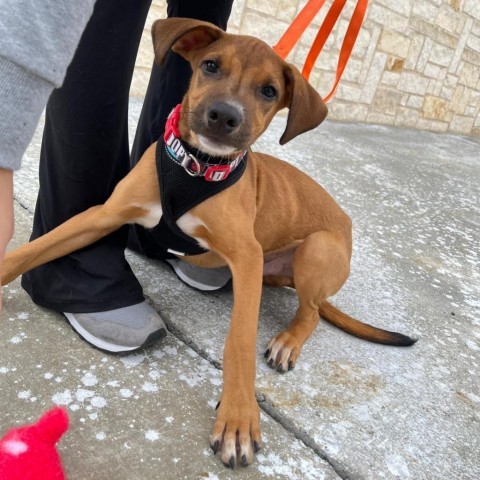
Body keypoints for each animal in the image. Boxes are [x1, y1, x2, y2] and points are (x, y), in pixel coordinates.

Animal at [0, 18, 414, 468]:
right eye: (211, 65)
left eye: (269, 91)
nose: (224, 115)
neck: (195, 167)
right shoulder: (104, 214)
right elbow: (40, 246)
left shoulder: (247, 256)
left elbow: (239, 342)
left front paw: (238, 417)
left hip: (317, 248)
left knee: (313, 312)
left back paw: (288, 340)